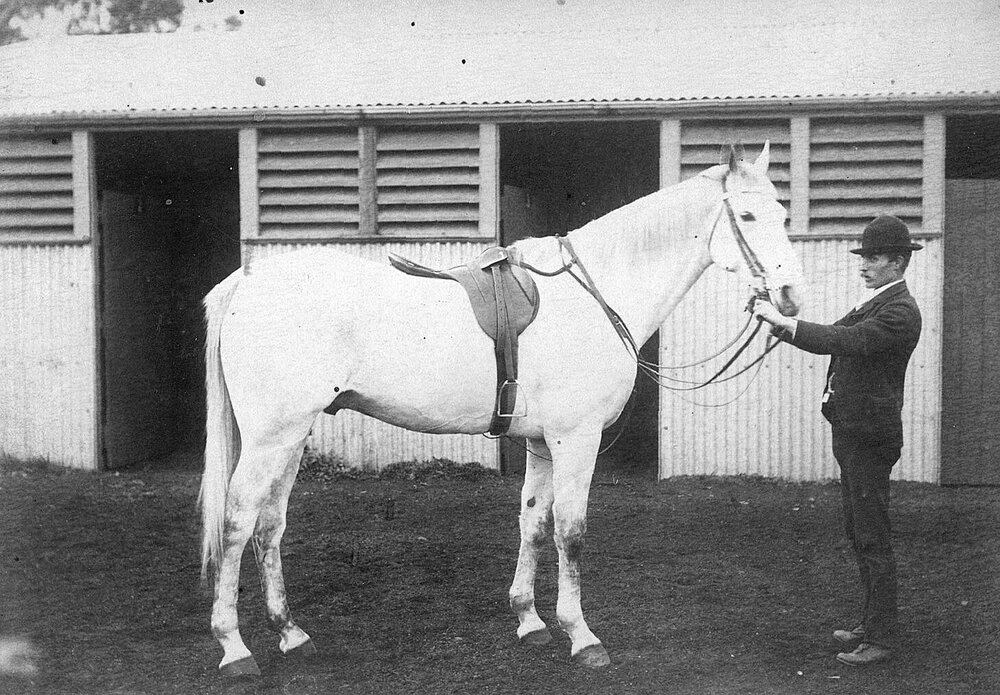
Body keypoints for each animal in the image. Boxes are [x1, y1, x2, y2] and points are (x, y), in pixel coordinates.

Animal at [198, 143, 804, 676]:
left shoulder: (542, 442)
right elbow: (570, 532)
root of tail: (248, 283)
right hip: (271, 438)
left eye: (782, 213)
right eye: (748, 215)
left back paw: (290, 633)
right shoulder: (575, 439)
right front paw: (582, 636)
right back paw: (234, 649)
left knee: (269, 526)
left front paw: (530, 620)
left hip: (291, 438)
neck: (593, 295)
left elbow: (533, 522)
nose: (792, 296)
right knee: (236, 522)